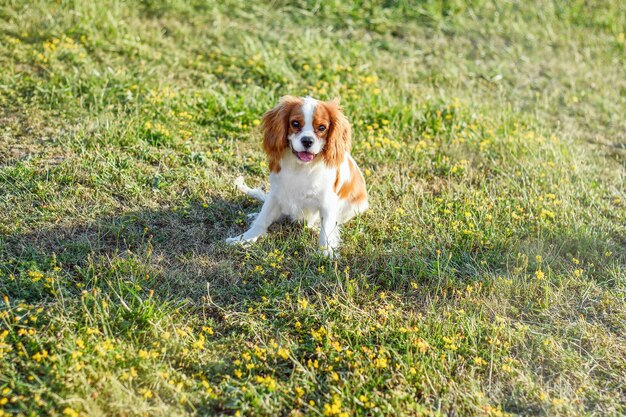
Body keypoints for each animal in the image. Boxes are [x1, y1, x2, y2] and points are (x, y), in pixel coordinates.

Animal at [224, 95, 368, 256]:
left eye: (322, 128)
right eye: (295, 123)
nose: (307, 140)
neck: (301, 168)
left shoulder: (328, 203)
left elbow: (326, 229)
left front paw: (326, 253)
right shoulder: (276, 193)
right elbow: (263, 218)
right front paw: (244, 239)